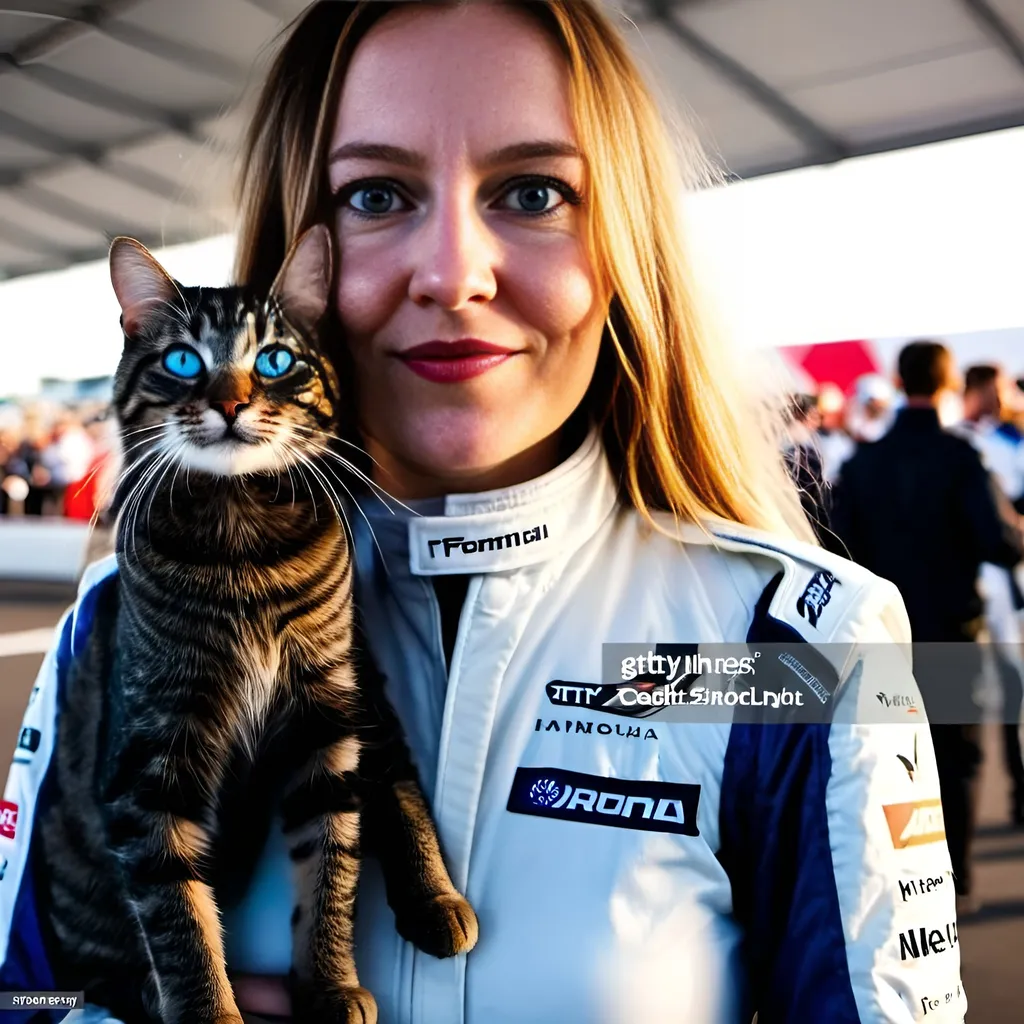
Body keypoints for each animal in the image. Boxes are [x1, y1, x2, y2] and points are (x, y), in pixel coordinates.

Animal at [32, 226, 477, 1024]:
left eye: (274, 360)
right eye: (183, 361)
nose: (233, 403)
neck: (244, 544)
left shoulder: (334, 717)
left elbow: (331, 867)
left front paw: (329, 983)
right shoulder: (151, 764)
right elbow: (178, 917)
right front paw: (210, 1011)